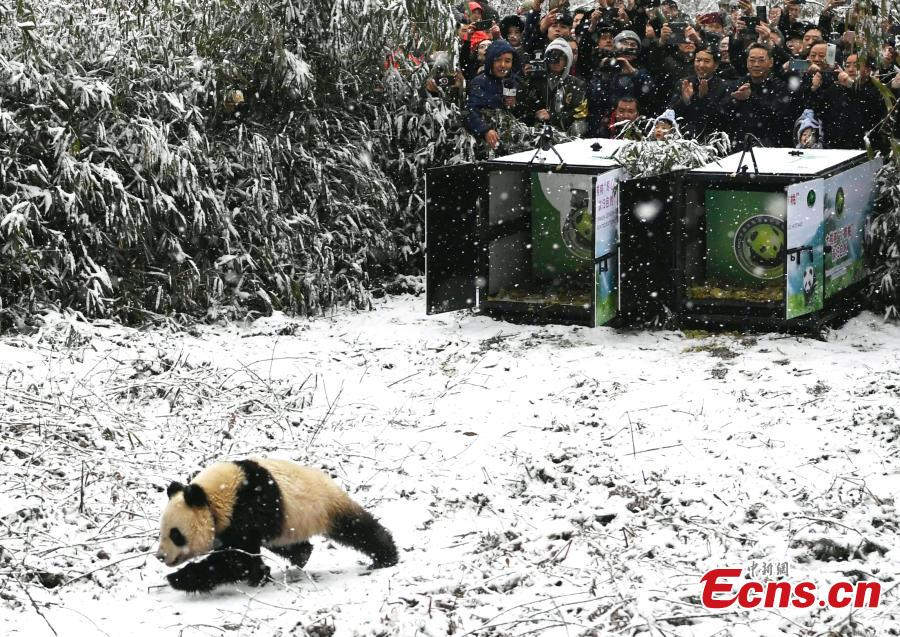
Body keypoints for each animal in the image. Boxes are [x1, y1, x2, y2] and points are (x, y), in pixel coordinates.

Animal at [156, 458, 398, 592]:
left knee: (358, 528)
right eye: (162, 532)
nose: (160, 556)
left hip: (324, 506)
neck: (215, 497)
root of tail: (328, 480)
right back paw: (302, 555)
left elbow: (236, 559)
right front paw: (260, 575)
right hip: (289, 523)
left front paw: (177, 578)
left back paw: (386, 558)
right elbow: (242, 558)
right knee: (286, 544)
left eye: (175, 534)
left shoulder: (248, 509)